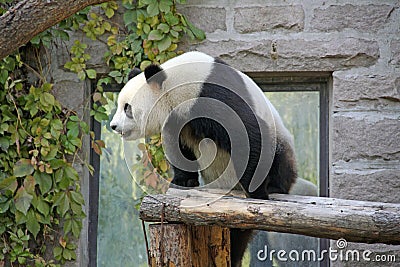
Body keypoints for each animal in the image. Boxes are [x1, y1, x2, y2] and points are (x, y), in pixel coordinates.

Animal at [109, 51, 296, 266]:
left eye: (127, 108)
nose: (114, 126)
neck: (175, 82)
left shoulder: (211, 93)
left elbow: (246, 134)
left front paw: (257, 193)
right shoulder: (176, 117)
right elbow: (178, 149)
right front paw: (183, 181)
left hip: (279, 141)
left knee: (280, 160)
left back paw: (274, 186)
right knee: (237, 237)